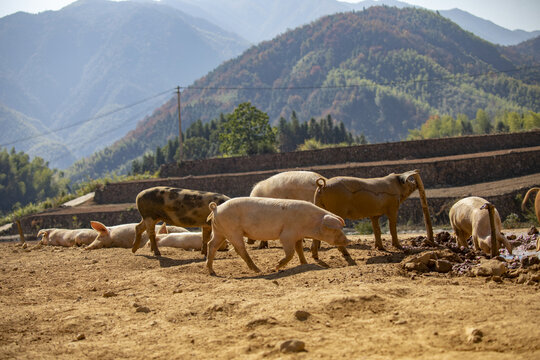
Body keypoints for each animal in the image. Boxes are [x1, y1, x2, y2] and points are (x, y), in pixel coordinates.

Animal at [205, 197, 348, 276]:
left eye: (342, 228)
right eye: (335, 230)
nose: (347, 241)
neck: (309, 223)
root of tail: (216, 209)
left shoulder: (298, 235)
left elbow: (299, 250)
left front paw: (305, 264)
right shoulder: (287, 235)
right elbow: (290, 253)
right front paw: (276, 267)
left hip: (220, 231)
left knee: (211, 245)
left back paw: (212, 272)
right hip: (232, 231)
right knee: (239, 249)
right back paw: (259, 270)